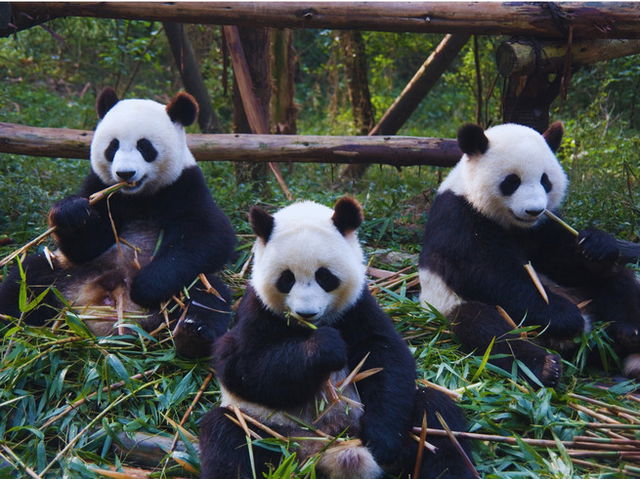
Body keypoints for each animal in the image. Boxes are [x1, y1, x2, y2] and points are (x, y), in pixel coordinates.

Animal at [0, 87, 236, 358]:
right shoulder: (101, 188)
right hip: (67, 274)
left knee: (208, 294)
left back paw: (192, 334)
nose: (125, 173)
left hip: (182, 290)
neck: (138, 197)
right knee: (28, 277)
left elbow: (209, 237)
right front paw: (72, 213)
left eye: (145, 146)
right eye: (112, 147)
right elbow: (85, 247)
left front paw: (147, 285)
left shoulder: (185, 186)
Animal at [199, 197, 474, 479]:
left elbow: (385, 357)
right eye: (286, 279)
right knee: (229, 436)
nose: (306, 312)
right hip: (269, 431)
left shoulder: (358, 307)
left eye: (324, 276)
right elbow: (241, 365)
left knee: (437, 417)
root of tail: (324, 453)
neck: (308, 327)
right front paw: (324, 348)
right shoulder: (257, 310)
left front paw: (382, 441)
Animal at [419, 122, 640, 387]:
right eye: (512, 181)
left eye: (546, 181)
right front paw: (564, 316)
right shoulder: (458, 217)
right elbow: (489, 273)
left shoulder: (542, 227)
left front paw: (596, 244)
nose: (534, 210)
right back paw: (546, 365)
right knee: (486, 329)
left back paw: (629, 332)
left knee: (617, 280)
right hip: (452, 304)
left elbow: (562, 259)